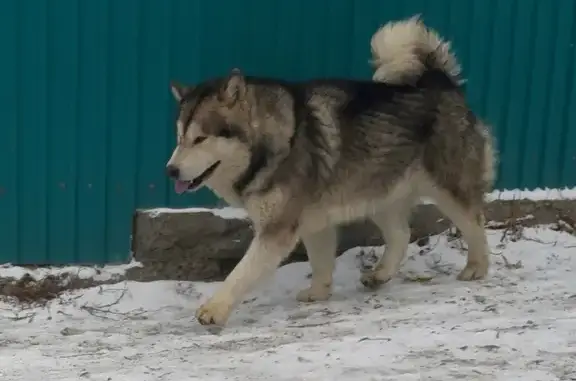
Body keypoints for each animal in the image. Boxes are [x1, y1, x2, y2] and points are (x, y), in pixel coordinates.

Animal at [165, 14, 496, 330]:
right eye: (180, 137)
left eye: (200, 139)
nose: (171, 171)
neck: (278, 141)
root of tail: (441, 81)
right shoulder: (313, 220)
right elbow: (321, 261)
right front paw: (318, 292)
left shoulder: (278, 229)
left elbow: (241, 273)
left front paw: (215, 309)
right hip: (377, 192)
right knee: (401, 234)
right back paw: (380, 274)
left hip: (447, 188)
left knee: (474, 222)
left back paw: (476, 267)